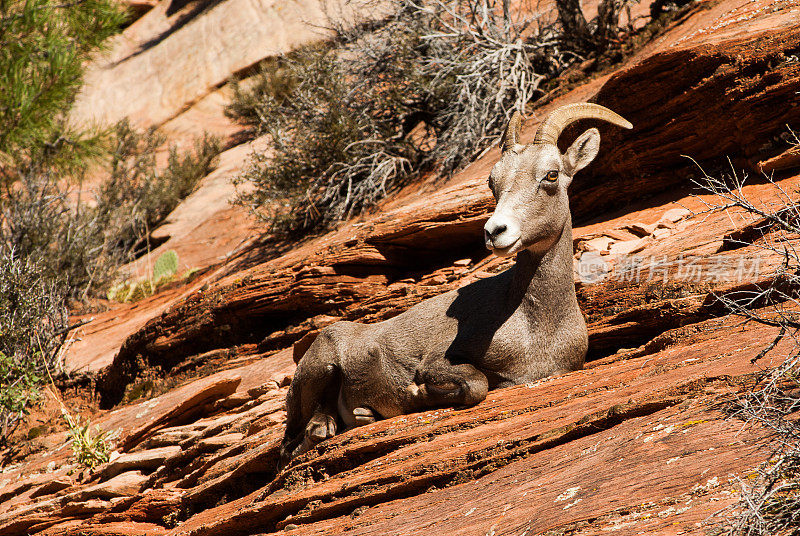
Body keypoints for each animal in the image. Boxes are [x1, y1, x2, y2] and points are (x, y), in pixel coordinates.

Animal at [282, 103, 632, 464]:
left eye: (551, 175)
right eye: (493, 182)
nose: (494, 231)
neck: (535, 326)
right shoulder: (439, 362)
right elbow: (477, 385)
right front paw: (415, 393)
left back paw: (363, 416)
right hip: (321, 368)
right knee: (295, 441)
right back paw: (327, 426)